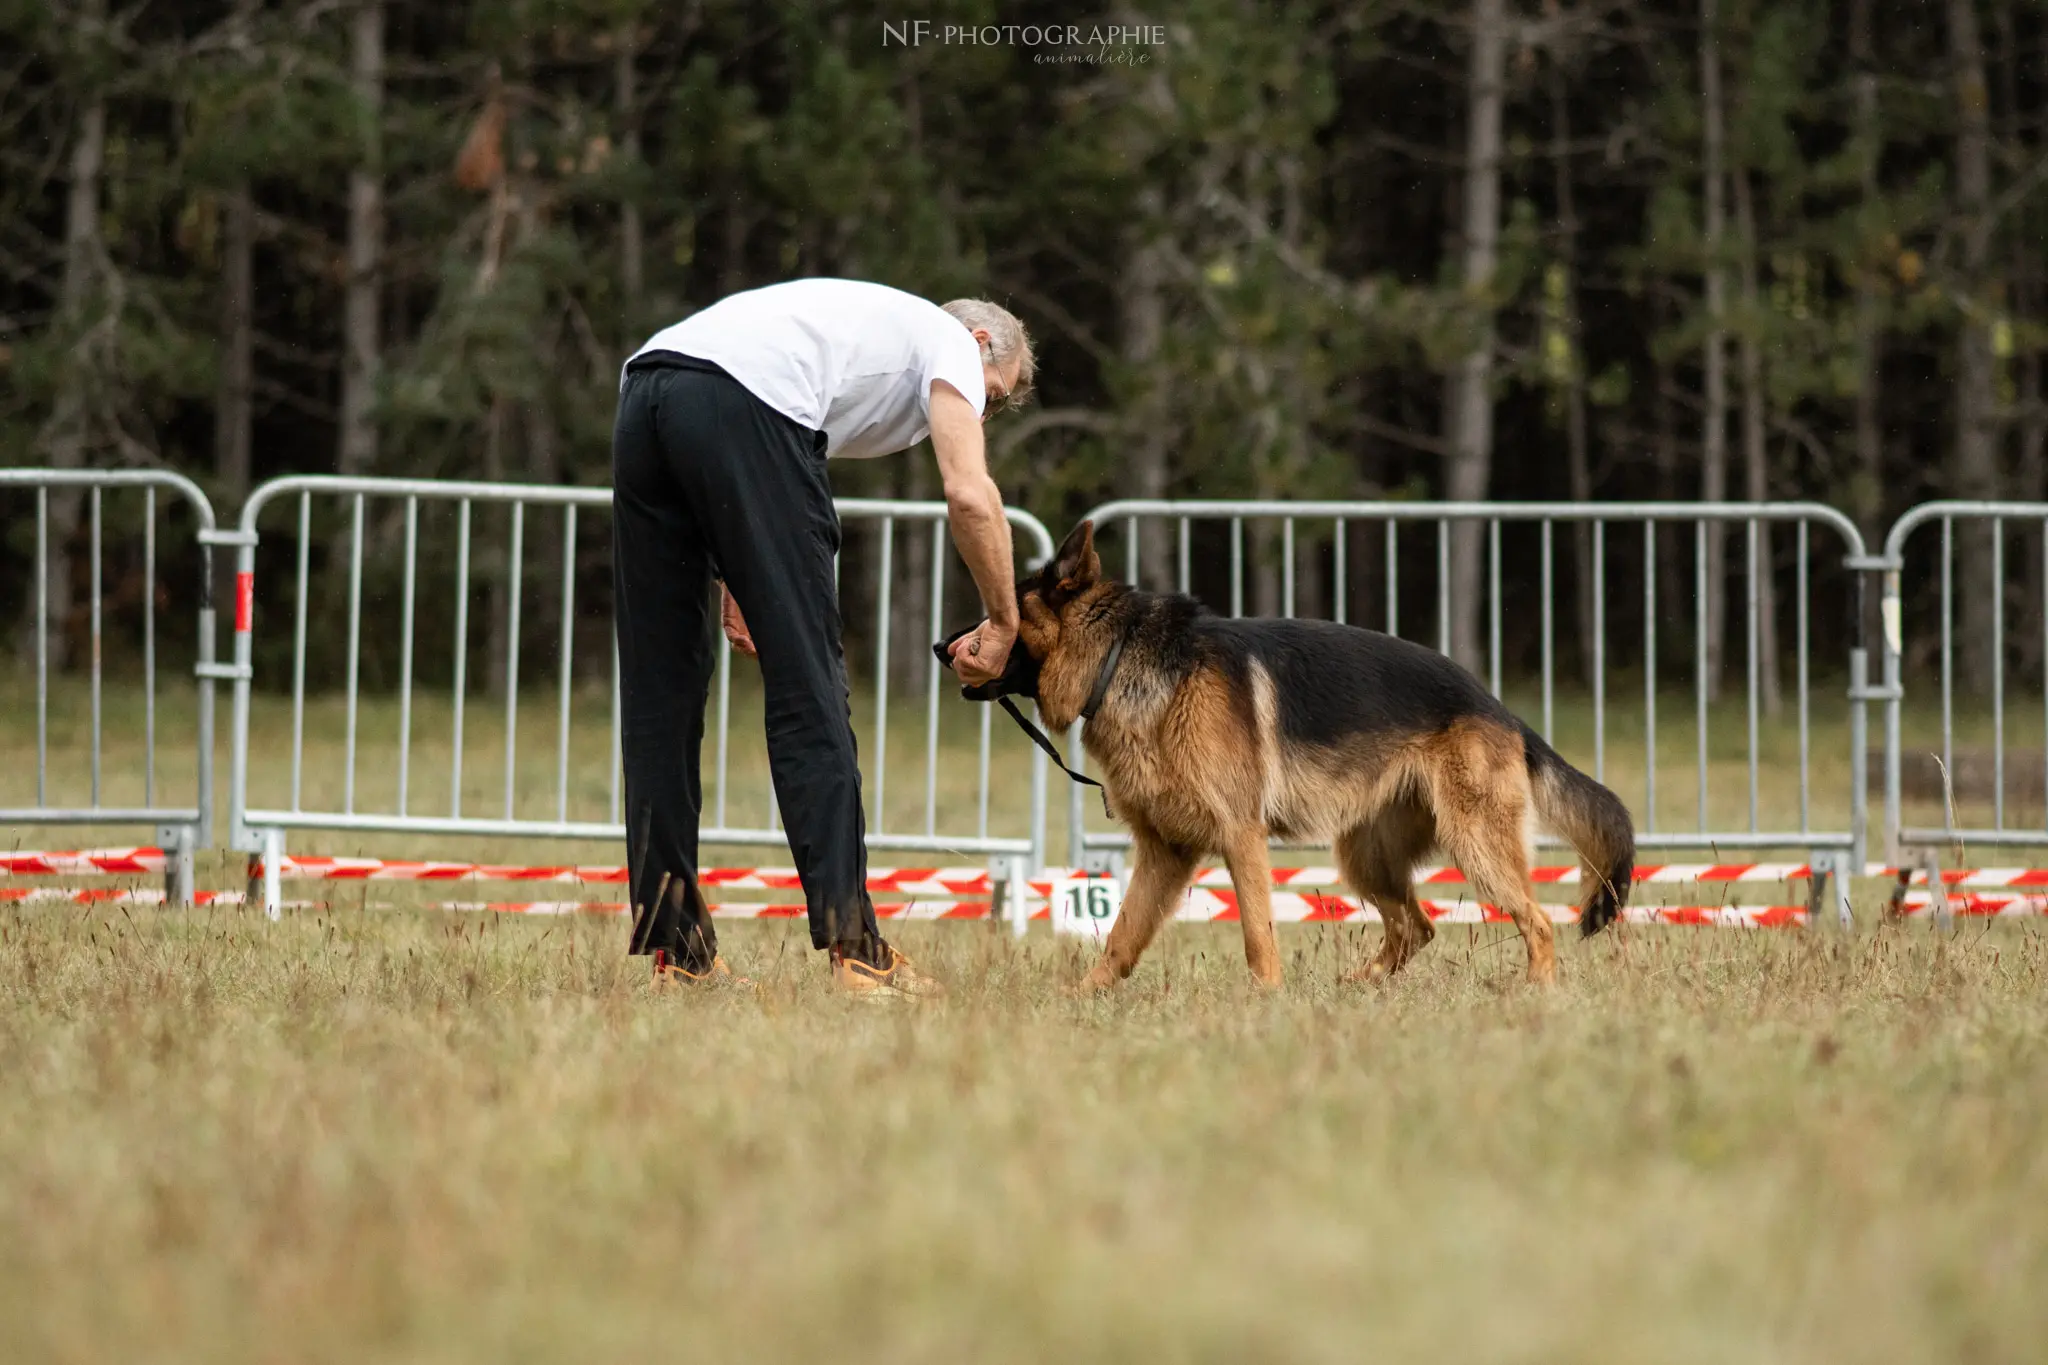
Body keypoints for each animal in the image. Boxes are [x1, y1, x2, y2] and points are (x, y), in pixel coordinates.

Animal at [942, 523, 1630, 994]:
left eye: (997, 612)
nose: (941, 648)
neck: (1120, 657)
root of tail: (1501, 710)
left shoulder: (1239, 837)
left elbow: (1256, 933)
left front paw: (1265, 1001)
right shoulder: (1165, 852)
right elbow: (1122, 935)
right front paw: (1081, 999)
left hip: (1474, 843)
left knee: (1537, 920)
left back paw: (1535, 994)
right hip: (1365, 856)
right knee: (1417, 926)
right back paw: (1357, 989)